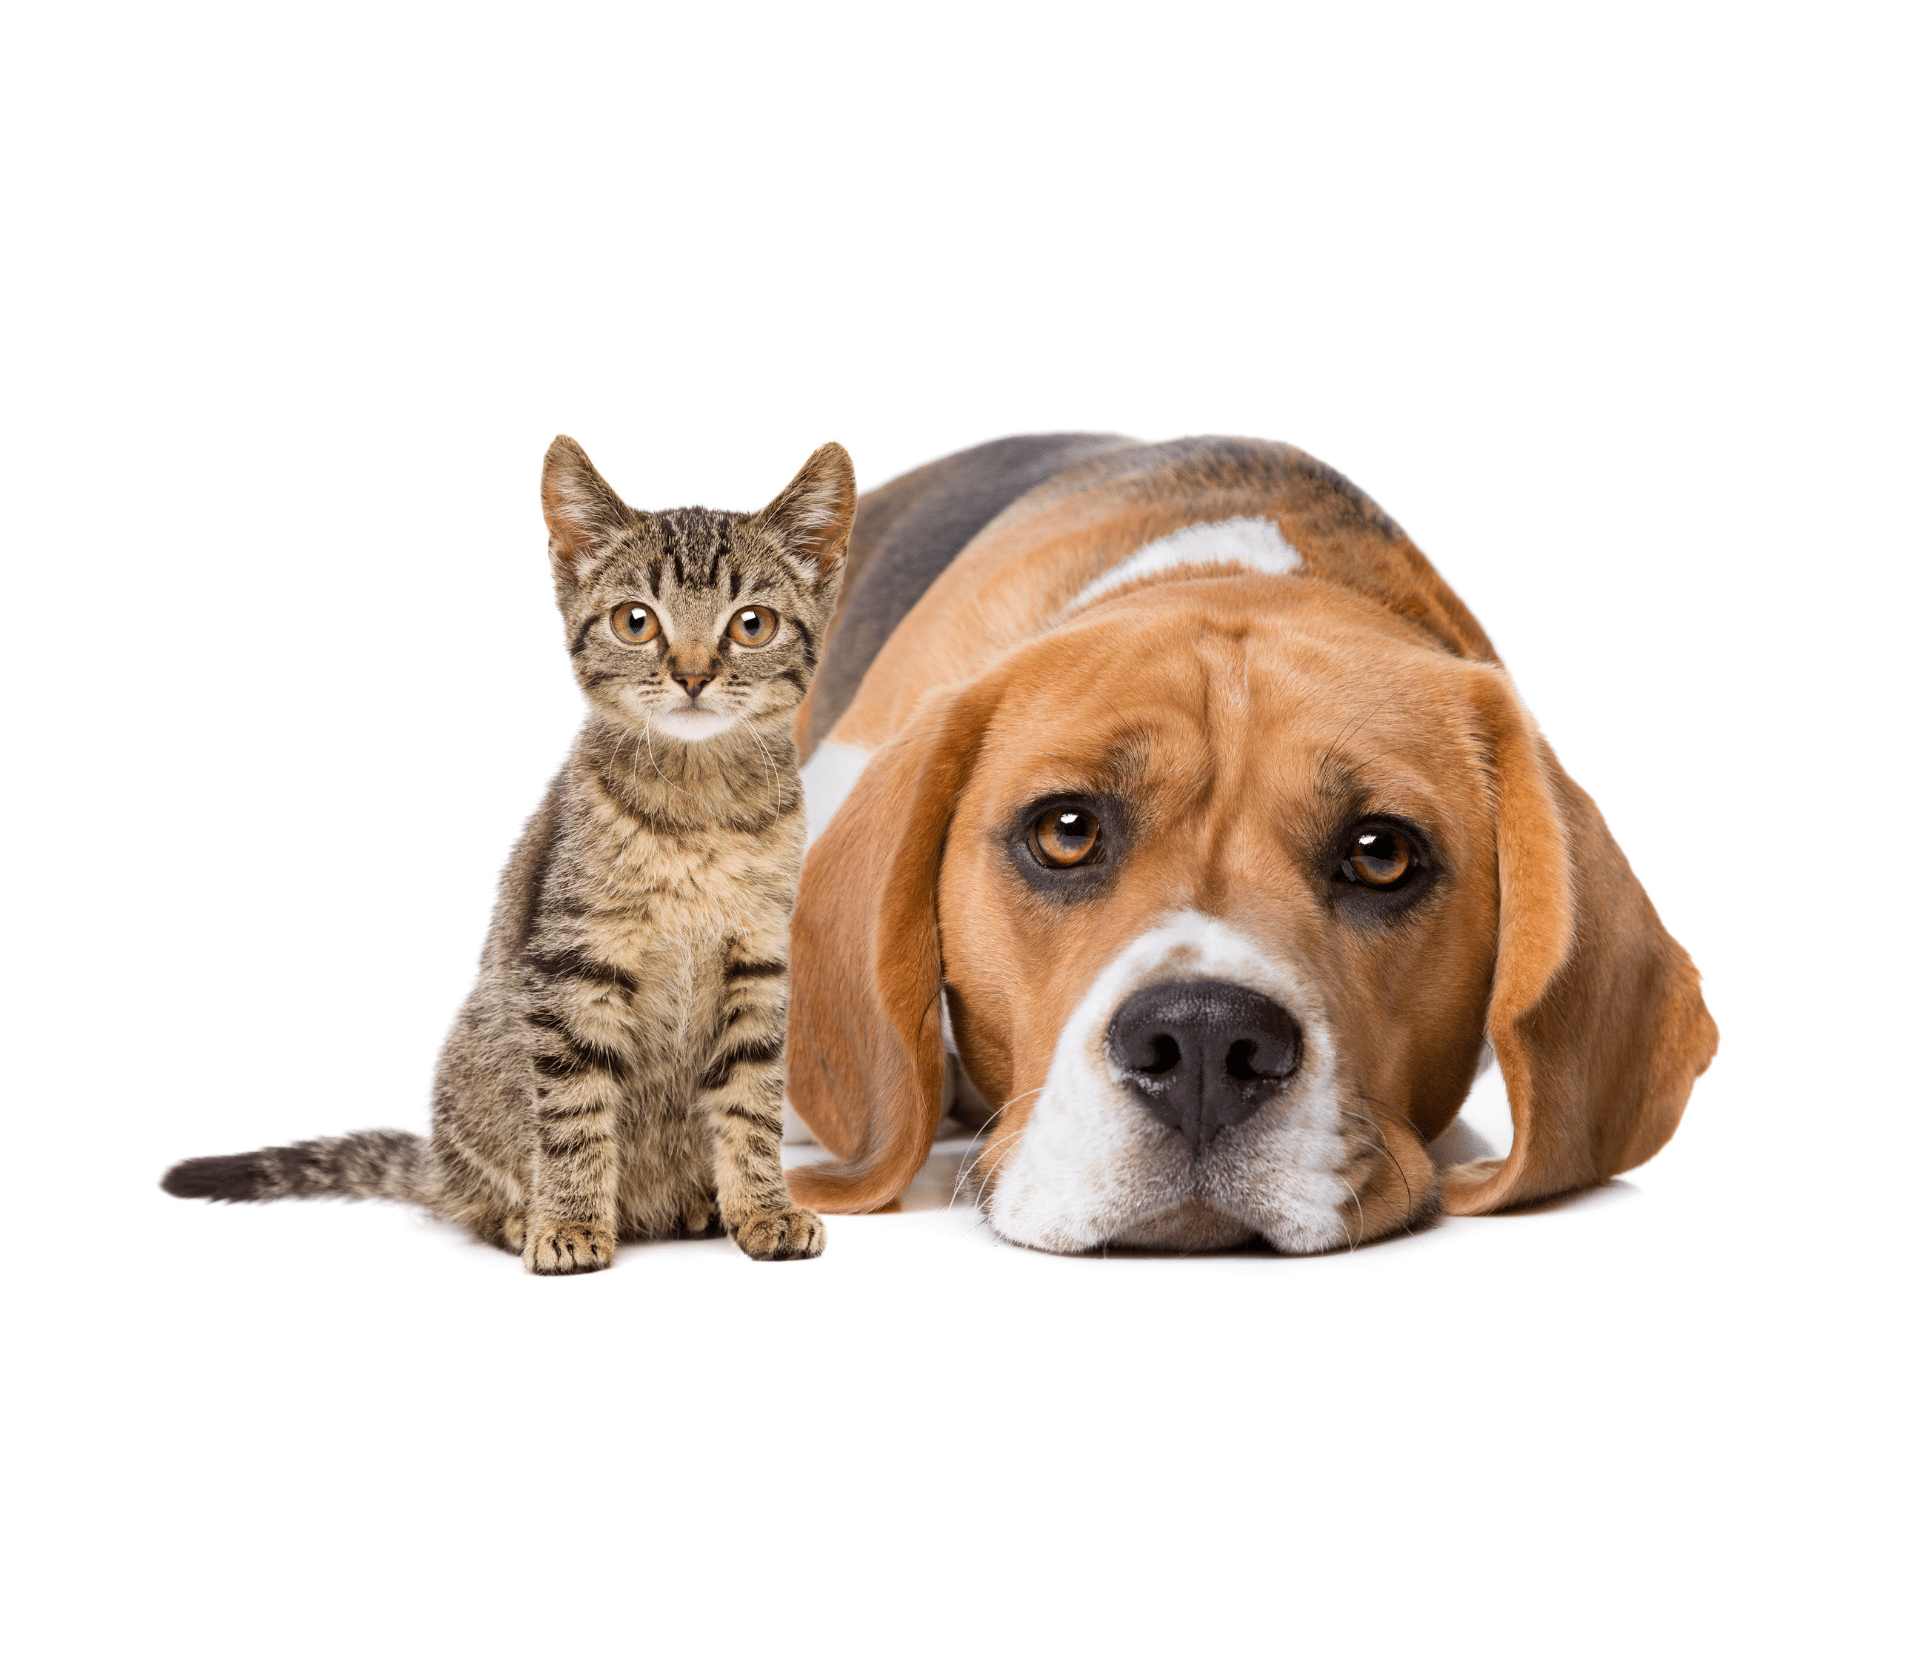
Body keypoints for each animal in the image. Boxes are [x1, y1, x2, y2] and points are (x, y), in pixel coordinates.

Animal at [165, 437, 856, 1274]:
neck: (698, 809)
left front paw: (762, 1209)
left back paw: (696, 1204)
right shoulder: (571, 962)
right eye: (635, 621)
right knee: (477, 1188)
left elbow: (752, 1102)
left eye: (752, 624)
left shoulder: (756, 961)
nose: (693, 674)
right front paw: (571, 1223)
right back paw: (522, 1215)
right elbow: (575, 1110)